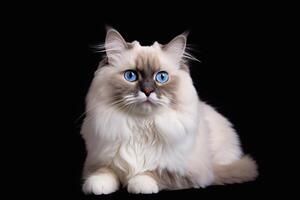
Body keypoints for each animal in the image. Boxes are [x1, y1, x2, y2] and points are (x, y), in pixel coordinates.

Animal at [80, 27, 258, 194]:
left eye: (161, 77)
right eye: (130, 76)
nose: (147, 91)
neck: (142, 126)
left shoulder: (189, 172)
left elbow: (155, 173)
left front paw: (138, 183)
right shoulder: (97, 161)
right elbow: (104, 172)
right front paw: (98, 185)